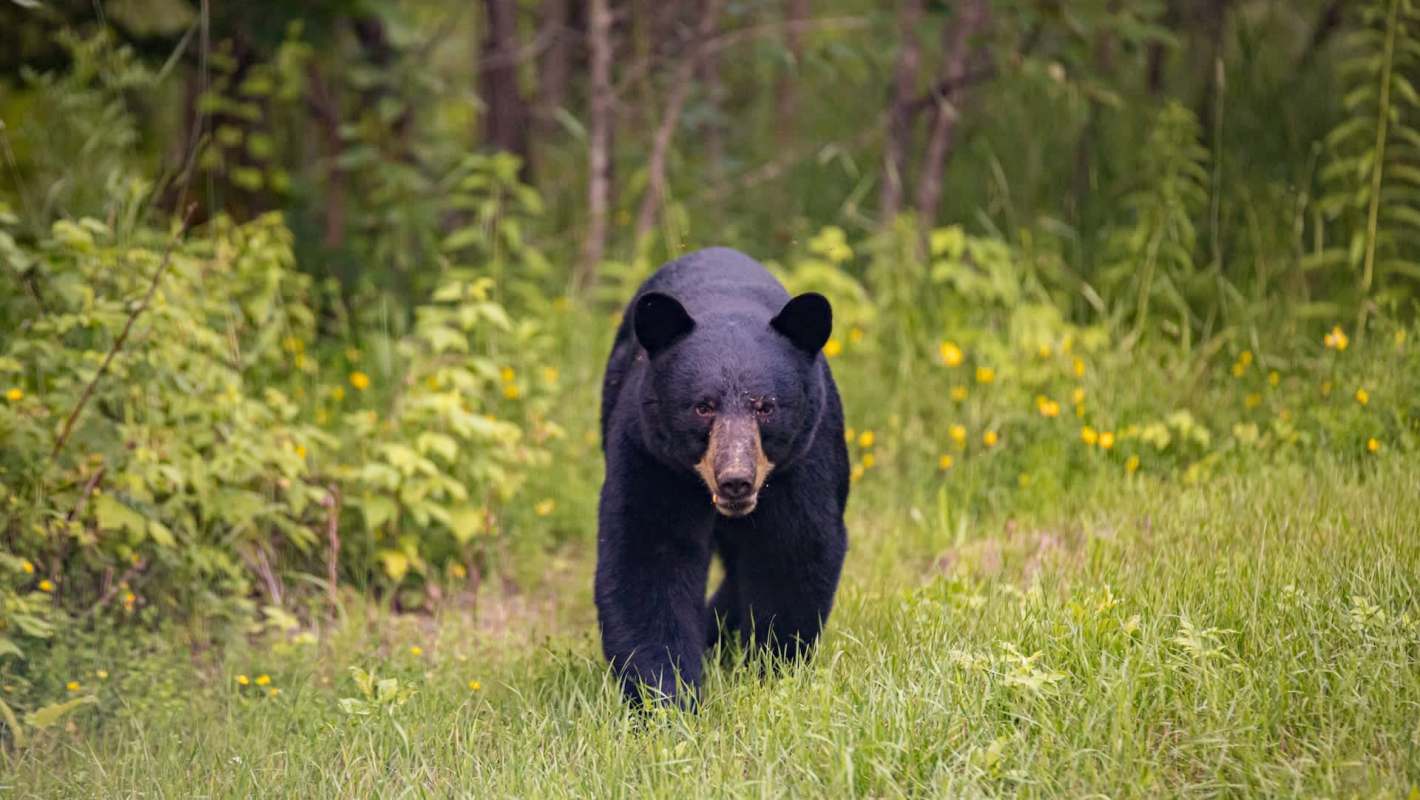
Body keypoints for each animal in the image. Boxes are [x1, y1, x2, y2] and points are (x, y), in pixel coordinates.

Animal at [595, 246, 850, 707]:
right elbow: (648, 556)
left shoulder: (804, 459)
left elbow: (793, 548)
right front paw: (666, 696)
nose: (736, 480)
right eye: (703, 406)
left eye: (766, 406)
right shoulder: (652, 454)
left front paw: (771, 668)